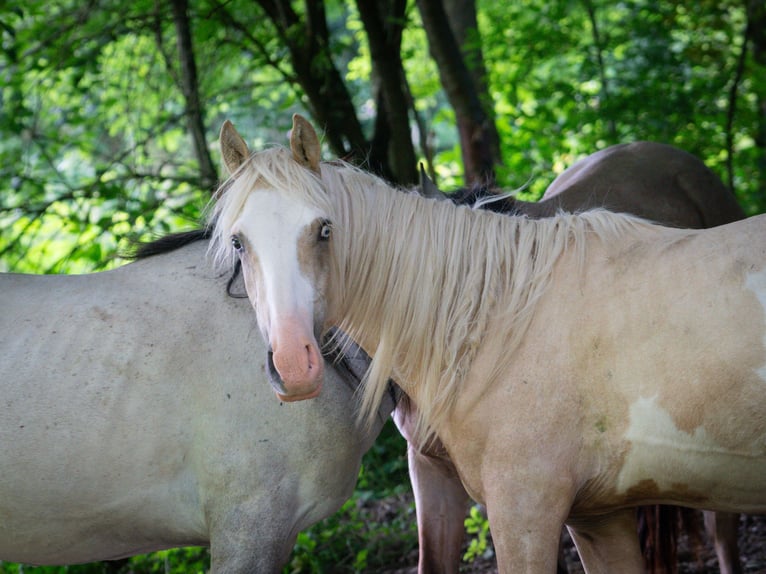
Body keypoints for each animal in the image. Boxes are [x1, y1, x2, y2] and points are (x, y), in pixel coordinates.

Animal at [210, 113, 766, 574]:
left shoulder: (526, 506)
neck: (488, 322)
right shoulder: (573, 509)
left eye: (324, 229)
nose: (293, 364)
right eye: (238, 242)